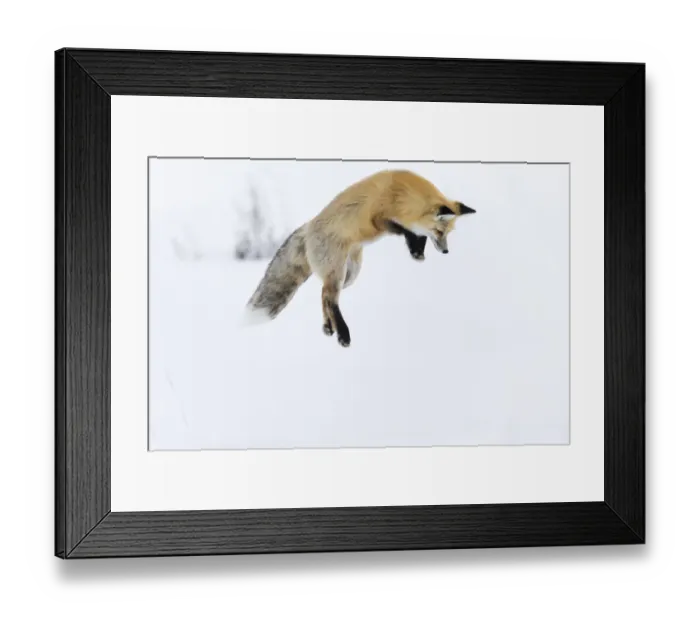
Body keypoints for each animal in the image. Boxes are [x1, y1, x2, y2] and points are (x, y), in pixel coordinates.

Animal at [242, 169, 476, 347]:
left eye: (448, 234)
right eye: (440, 232)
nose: (446, 252)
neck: (402, 195)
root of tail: (307, 228)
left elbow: (416, 233)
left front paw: (417, 251)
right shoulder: (378, 218)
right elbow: (404, 229)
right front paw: (415, 247)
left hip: (349, 275)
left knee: (324, 295)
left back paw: (328, 327)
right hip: (338, 272)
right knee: (330, 297)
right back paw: (343, 334)